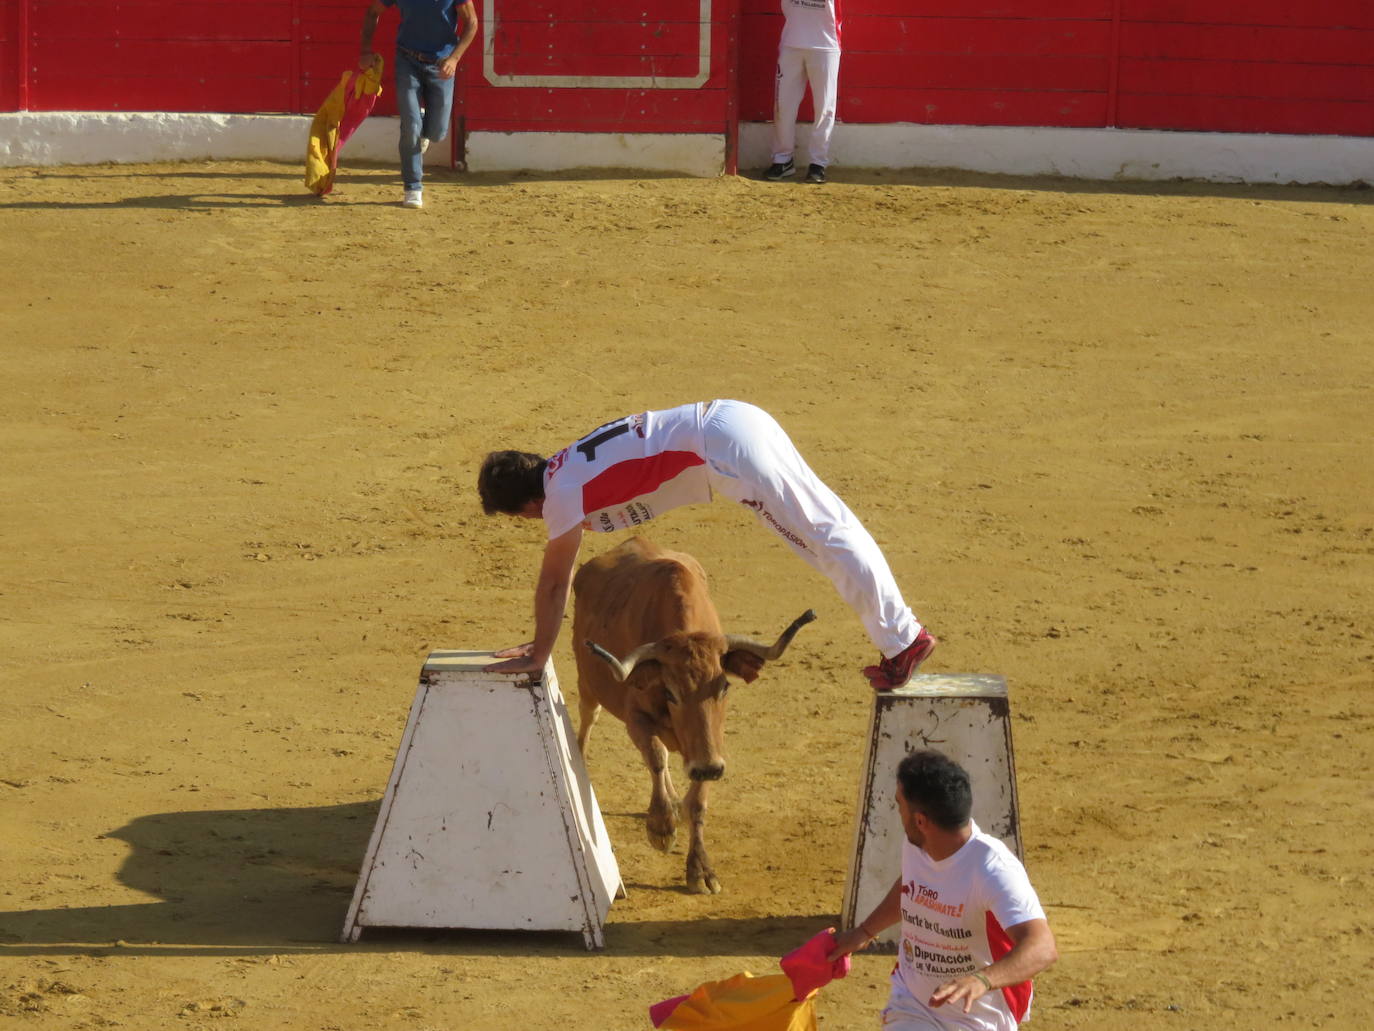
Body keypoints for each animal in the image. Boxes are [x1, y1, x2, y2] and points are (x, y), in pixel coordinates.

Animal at [571, 536, 813, 890]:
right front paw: (660, 827)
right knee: (589, 720)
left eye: (724, 687)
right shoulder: (637, 719)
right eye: (670, 692)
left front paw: (700, 868)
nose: (708, 768)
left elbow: (697, 800)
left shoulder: (711, 745)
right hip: (588, 688)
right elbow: (656, 757)